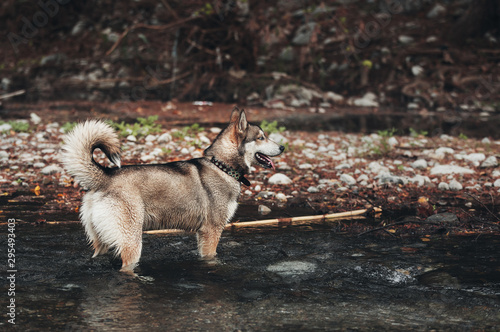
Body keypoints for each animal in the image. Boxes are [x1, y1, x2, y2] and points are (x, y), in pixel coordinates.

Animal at [60, 107, 284, 272]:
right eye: (261, 137)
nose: (283, 147)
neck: (222, 165)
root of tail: (105, 176)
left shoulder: (202, 233)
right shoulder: (211, 231)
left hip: (102, 243)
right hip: (132, 242)